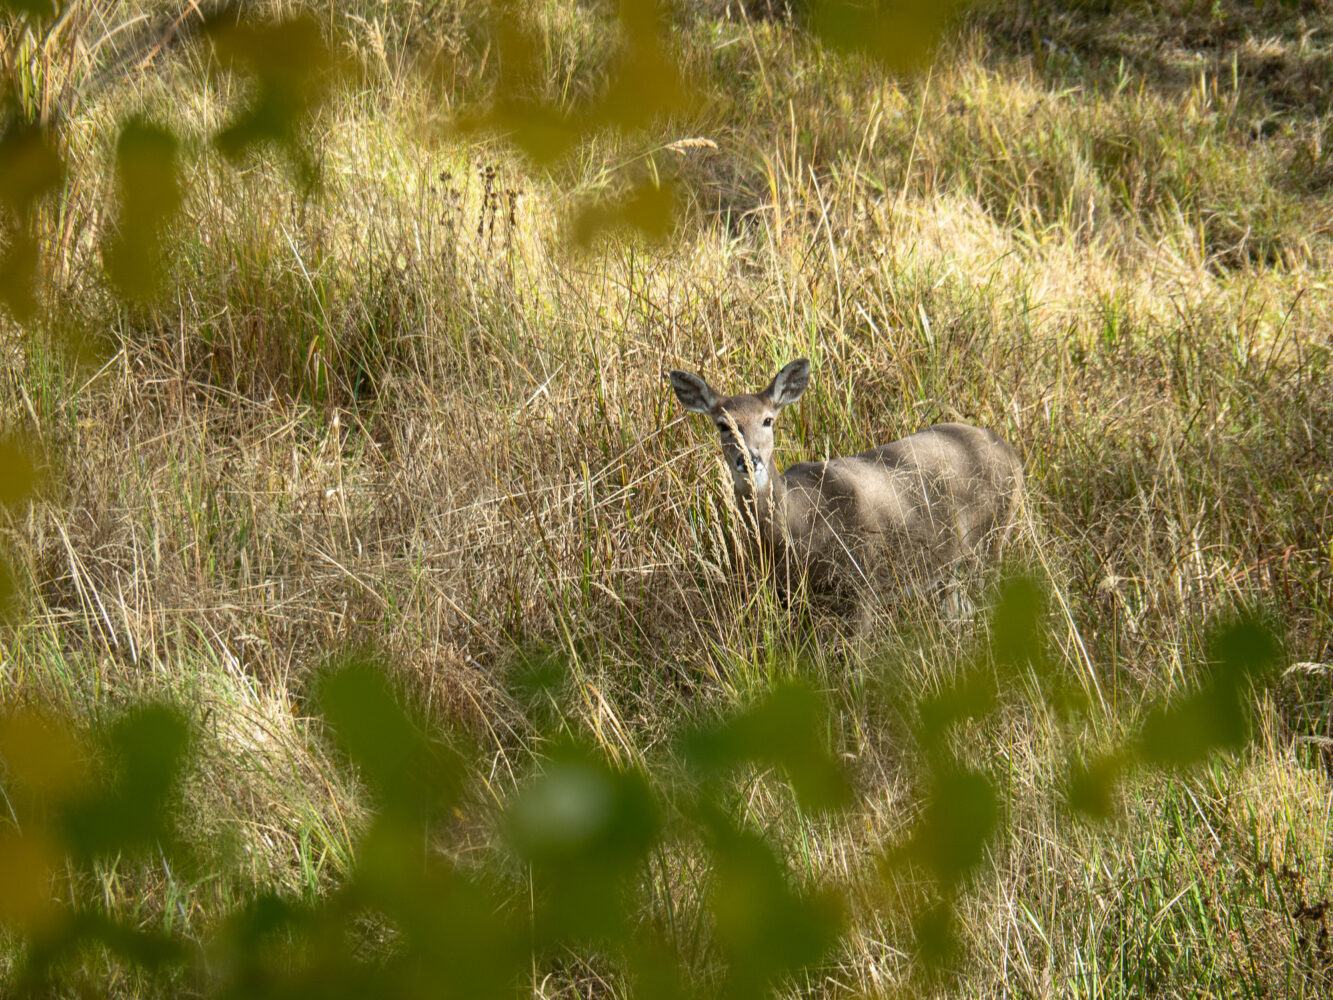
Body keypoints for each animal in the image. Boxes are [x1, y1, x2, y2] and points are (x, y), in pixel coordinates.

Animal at [671, 357, 1023, 616]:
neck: (798, 523)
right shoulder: (794, 597)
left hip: (994, 536)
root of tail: (1011, 451)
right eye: (722, 424)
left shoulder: (863, 581)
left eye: (768, 420)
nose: (749, 459)